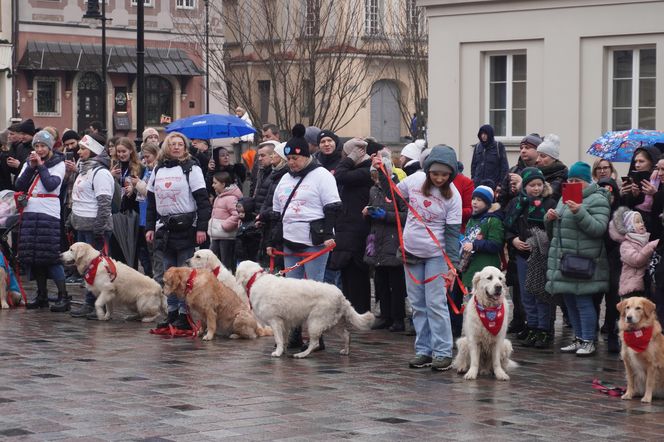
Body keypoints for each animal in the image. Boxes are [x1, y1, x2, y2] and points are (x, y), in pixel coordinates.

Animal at [236, 260, 376, 358]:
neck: (256, 279)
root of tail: (341, 296)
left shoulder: (275, 320)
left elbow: (278, 339)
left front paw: (277, 352)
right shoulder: (284, 322)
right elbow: (284, 339)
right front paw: (283, 351)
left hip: (314, 322)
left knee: (315, 343)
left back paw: (301, 355)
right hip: (332, 324)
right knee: (347, 335)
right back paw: (346, 351)